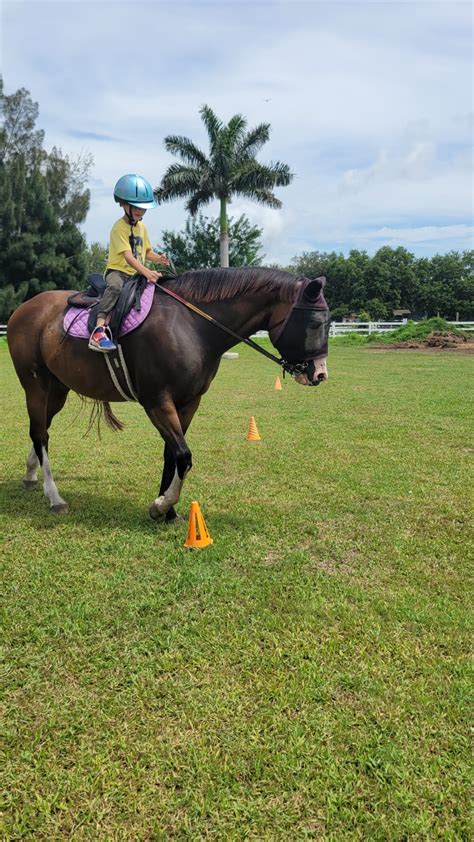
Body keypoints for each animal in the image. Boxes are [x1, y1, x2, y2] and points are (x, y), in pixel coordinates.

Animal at [6, 268, 330, 520]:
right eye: (315, 323)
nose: (320, 374)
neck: (192, 325)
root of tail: (24, 308)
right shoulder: (157, 402)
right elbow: (184, 455)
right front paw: (162, 505)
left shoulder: (188, 403)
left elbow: (171, 454)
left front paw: (169, 511)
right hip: (35, 386)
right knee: (40, 434)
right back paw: (54, 497)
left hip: (57, 390)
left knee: (41, 430)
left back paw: (31, 474)